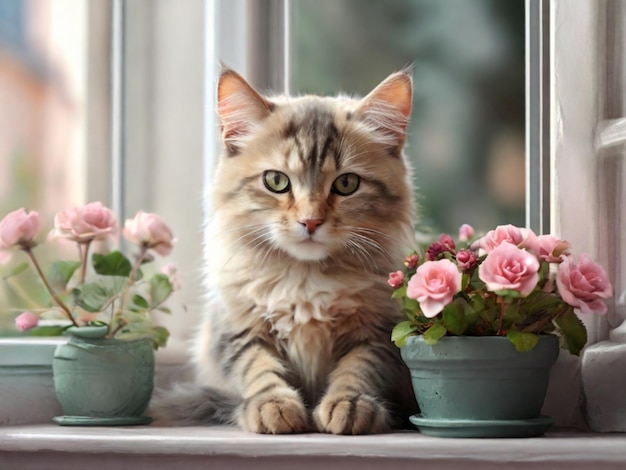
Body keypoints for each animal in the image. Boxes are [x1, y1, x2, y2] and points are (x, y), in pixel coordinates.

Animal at [149, 66, 416, 434]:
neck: (305, 279)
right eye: (276, 181)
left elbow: (358, 369)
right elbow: (258, 369)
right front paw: (273, 406)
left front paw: (347, 404)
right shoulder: (238, 329)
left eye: (346, 184)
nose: (311, 221)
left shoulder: (377, 331)